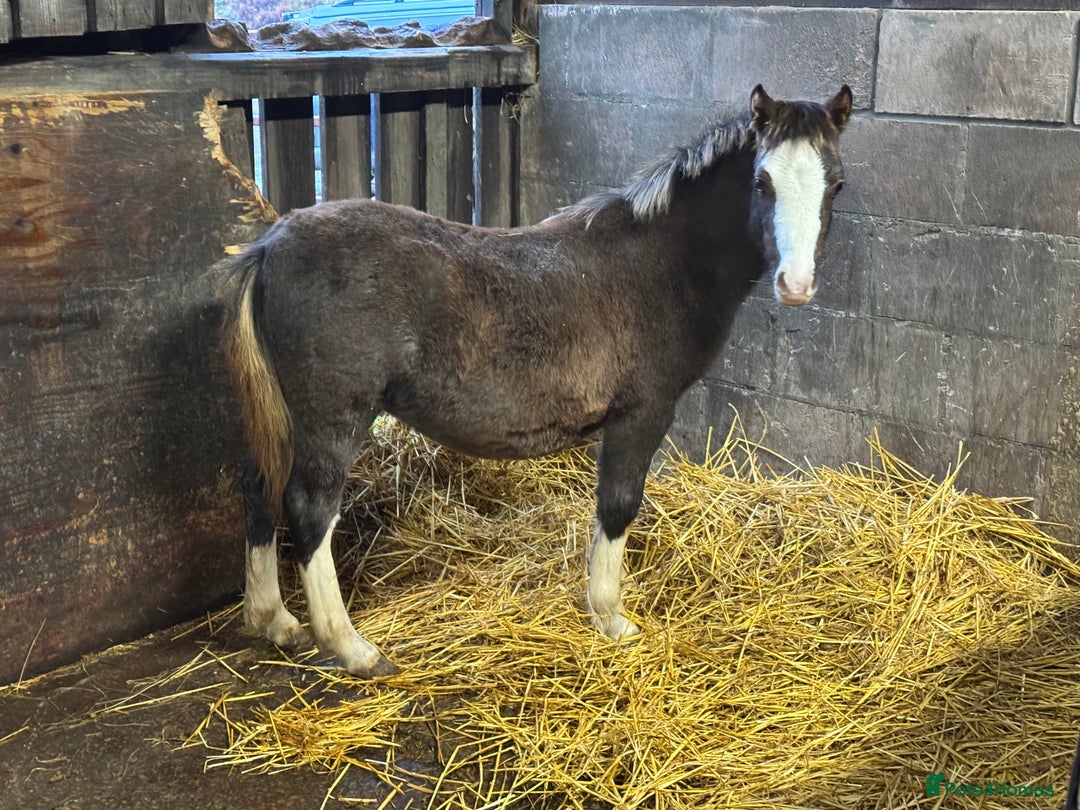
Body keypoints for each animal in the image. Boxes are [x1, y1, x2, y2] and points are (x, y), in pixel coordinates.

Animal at [221, 84, 853, 678]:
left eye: (837, 185)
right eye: (762, 182)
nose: (796, 285)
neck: (659, 262)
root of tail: (271, 246)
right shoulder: (642, 413)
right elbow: (618, 505)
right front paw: (610, 616)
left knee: (258, 488)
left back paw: (274, 620)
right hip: (334, 415)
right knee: (309, 508)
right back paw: (350, 647)